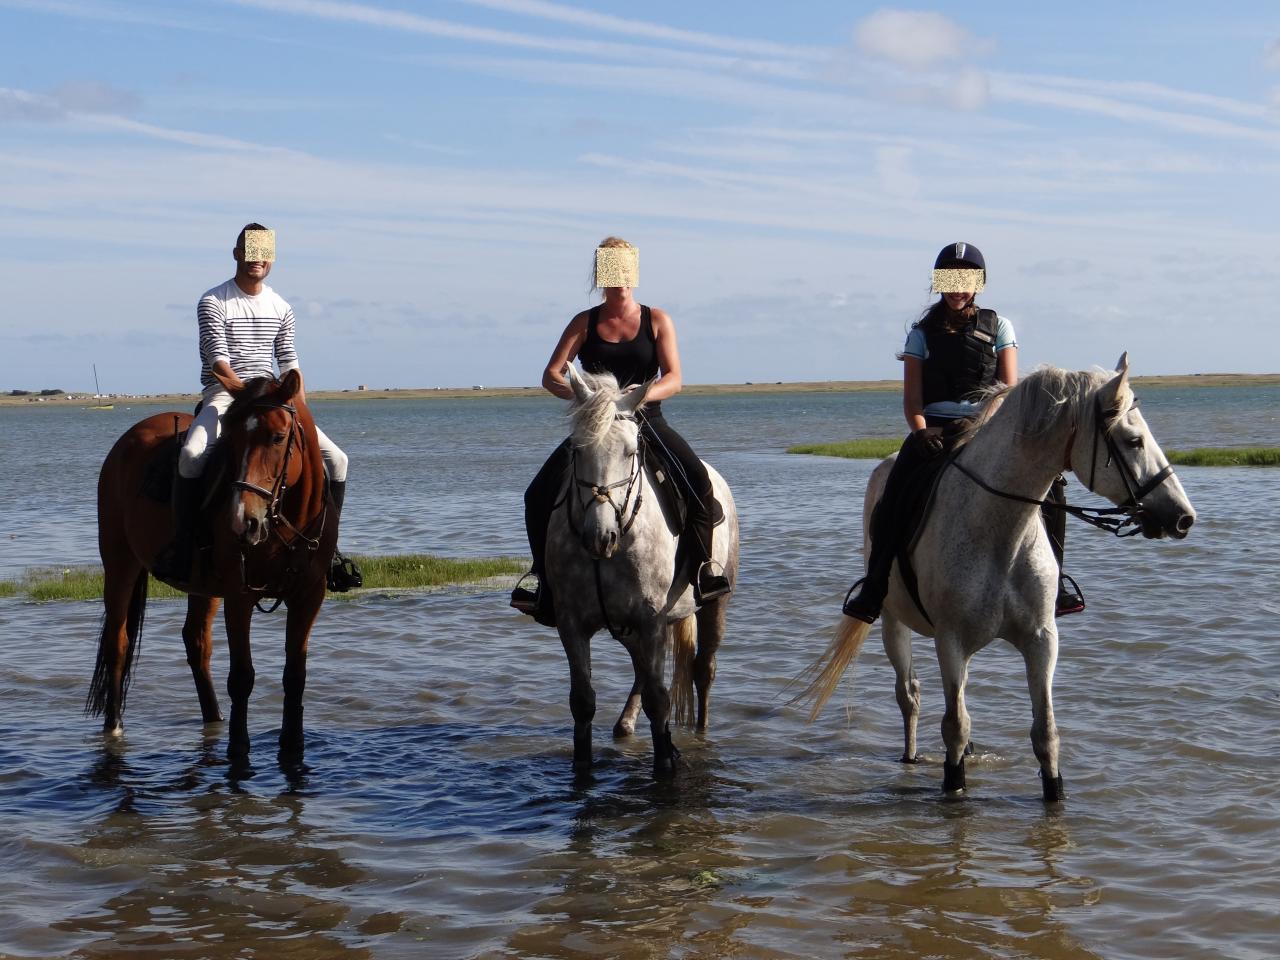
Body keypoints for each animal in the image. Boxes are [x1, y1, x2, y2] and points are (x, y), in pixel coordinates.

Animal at [85, 371, 335, 762]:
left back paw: (213, 719)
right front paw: (238, 749)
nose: (243, 521)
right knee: (118, 643)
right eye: (231, 442)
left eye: (278, 437)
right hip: (119, 563)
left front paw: (292, 748)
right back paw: (114, 728)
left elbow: (295, 676)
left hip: (201, 586)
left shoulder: (309, 596)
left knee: (196, 643)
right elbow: (242, 676)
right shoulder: (238, 595)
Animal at [547, 368, 742, 783]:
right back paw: (625, 725)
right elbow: (582, 700)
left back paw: (699, 735)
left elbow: (659, 698)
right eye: (577, 450)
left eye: (629, 452)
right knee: (641, 671)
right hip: (628, 628)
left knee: (703, 669)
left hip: (714, 605)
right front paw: (582, 769)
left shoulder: (650, 620)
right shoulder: (572, 623)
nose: (600, 536)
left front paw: (666, 764)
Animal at [798, 358, 1198, 798]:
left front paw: (1055, 794)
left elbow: (1045, 733)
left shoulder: (1041, 640)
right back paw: (910, 757)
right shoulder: (950, 640)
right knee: (909, 695)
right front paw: (954, 786)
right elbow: (955, 727)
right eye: (1134, 441)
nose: (1183, 517)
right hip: (893, 621)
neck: (1001, 531)